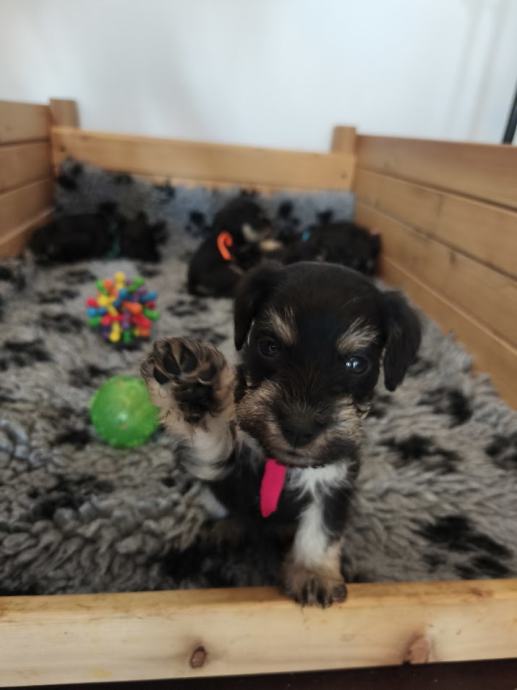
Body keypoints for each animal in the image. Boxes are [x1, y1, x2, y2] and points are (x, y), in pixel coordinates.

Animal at [141, 261, 421, 605]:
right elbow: (212, 435)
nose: (299, 429)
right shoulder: (223, 467)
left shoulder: (333, 482)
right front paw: (192, 388)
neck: (281, 464)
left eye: (357, 363)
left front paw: (313, 573)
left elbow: (321, 529)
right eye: (269, 346)